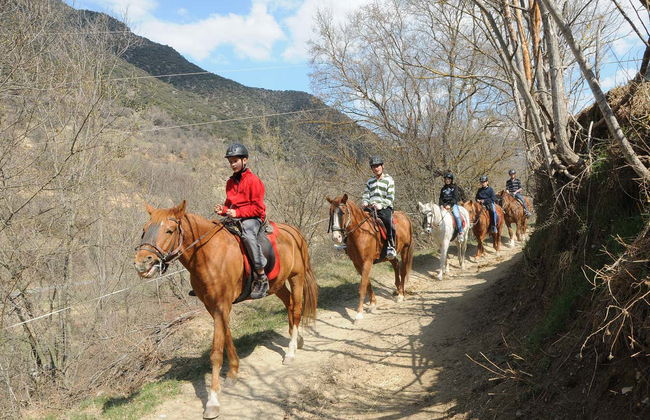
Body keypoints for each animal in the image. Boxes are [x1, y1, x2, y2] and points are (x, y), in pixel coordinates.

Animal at [133, 201, 318, 419]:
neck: (208, 254)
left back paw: (290, 352)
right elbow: (227, 336)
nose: (141, 262)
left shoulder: (221, 305)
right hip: (277, 284)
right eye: (144, 230)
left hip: (297, 277)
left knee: (296, 308)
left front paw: (213, 401)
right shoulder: (214, 306)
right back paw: (297, 341)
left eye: (169, 230)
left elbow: (216, 352)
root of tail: (293, 231)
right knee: (289, 304)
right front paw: (233, 373)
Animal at [326, 194, 413, 323]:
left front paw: (358, 314)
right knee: (396, 264)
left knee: (402, 270)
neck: (361, 233)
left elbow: (362, 287)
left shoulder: (367, 262)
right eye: (331, 213)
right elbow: (367, 283)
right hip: (389, 255)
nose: (336, 237)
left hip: (405, 249)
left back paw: (401, 295)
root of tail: (404, 216)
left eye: (342, 212)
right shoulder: (357, 264)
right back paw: (397, 290)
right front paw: (372, 304)